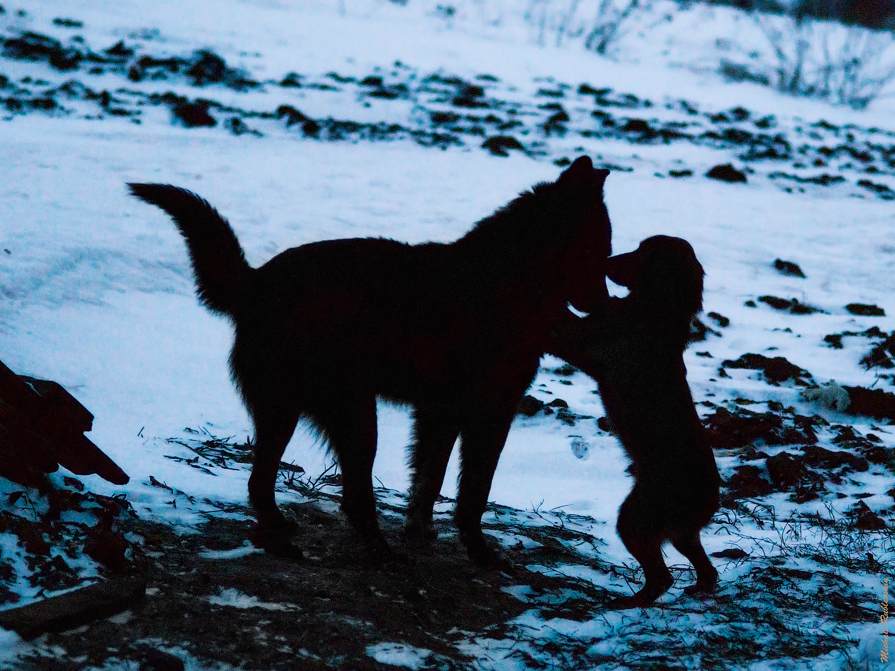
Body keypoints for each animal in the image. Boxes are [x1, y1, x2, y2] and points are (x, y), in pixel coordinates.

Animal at [128, 159, 616, 568]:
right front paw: (479, 553)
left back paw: (283, 534)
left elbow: (428, 481)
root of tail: (255, 282)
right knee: (351, 496)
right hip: (355, 414)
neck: (509, 278)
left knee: (262, 480)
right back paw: (377, 553)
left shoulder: (440, 412)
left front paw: (421, 534)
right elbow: (475, 491)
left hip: (287, 411)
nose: (605, 306)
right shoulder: (490, 412)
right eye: (598, 250)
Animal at [548, 236, 724, 608]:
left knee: (661, 577)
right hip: (679, 531)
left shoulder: (585, 342)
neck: (655, 309)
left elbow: (558, 318)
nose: (606, 262)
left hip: (637, 518)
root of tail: (712, 496)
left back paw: (629, 602)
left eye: (643, 252)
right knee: (705, 568)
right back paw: (698, 589)